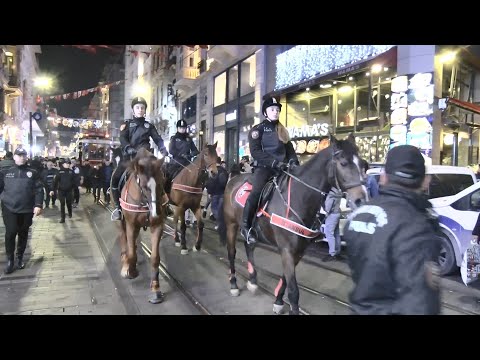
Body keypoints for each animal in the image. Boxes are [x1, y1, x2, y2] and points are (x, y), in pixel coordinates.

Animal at [117, 148, 167, 304]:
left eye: (162, 183)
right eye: (144, 187)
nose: (156, 214)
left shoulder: (157, 226)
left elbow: (155, 258)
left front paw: (155, 290)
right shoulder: (131, 224)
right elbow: (131, 253)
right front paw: (130, 271)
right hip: (122, 221)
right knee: (124, 238)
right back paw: (125, 263)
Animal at [218, 136, 368, 314]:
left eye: (363, 164)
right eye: (343, 163)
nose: (361, 199)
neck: (299, 197)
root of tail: (233, 179)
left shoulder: (298, 251)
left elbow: (285, 281)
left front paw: (278, 301)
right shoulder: (287, 250)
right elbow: (294, 291)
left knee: (249, 247)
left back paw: (253, 281)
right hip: (231, 225)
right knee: (232, 253)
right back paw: (233, 284)